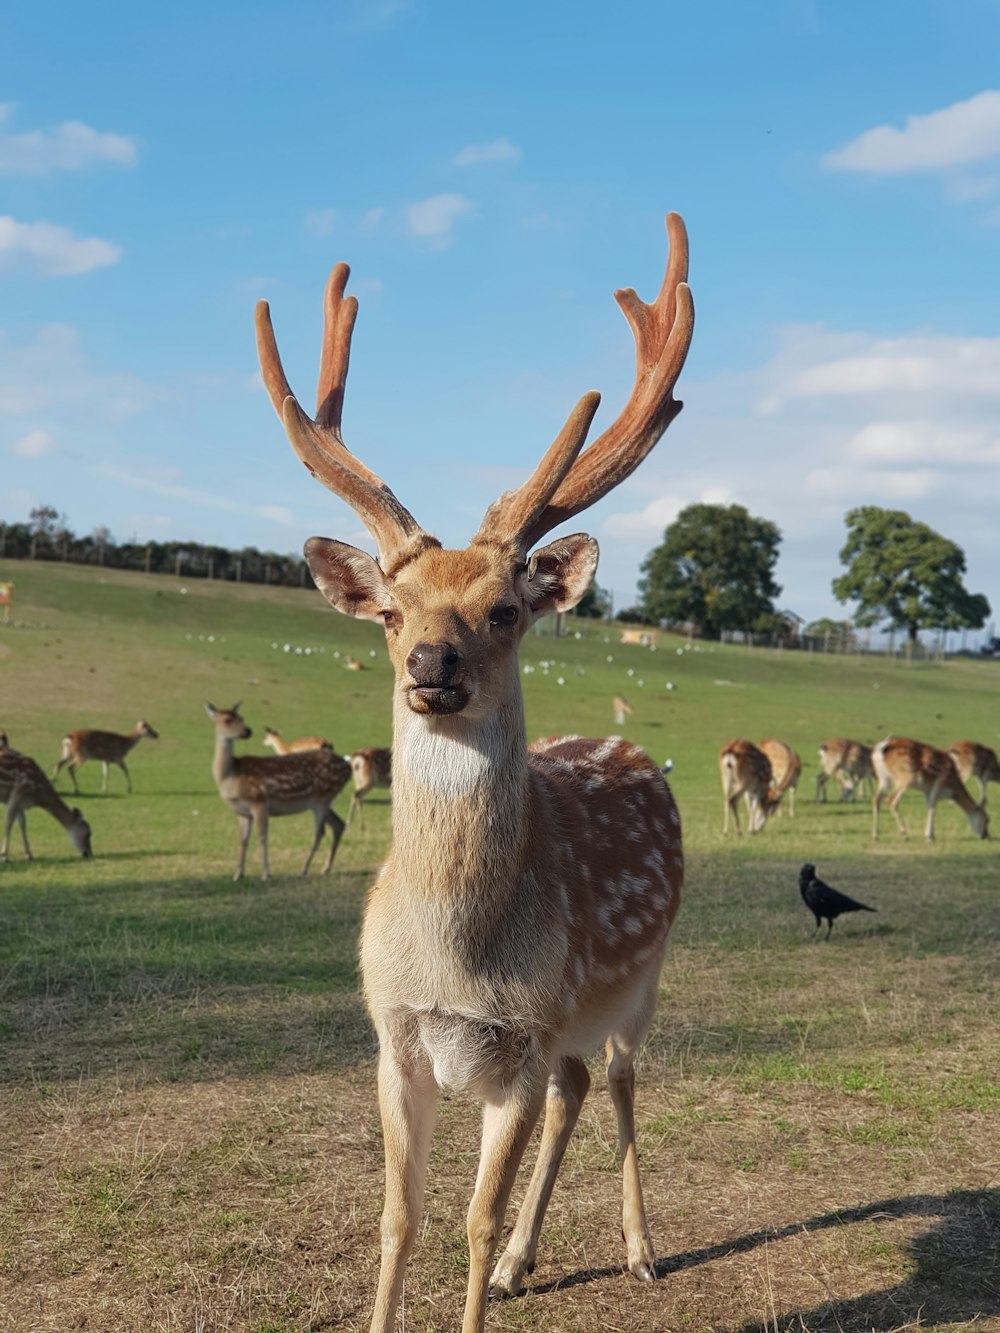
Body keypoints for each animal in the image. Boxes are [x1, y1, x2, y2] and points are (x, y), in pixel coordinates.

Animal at [204, 703, 352, 879]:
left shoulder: (259, 801)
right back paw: (325, 868)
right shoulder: (242, 811)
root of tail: (348, 766)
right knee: (339, 824)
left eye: (241, 717)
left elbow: (262, 837)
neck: (231, 776)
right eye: (227, 719)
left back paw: (304, 869)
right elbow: (243, 839)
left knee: (320, 832)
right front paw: (238, 874)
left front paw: (265, 874)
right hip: (322, 800)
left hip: (323, 797)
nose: (247, 731)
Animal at [256, 213, 698, 1327]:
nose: (430, 666)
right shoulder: (394, 1037)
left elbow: (472, 1218)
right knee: (583, 1089)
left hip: (637, 981)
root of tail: (637, 748)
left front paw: (496, 1258)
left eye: (503, 609)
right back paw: (529, 1264)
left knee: (620, 1079)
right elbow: (400, 1217)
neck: (457, 960)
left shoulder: (524, 1041)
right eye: (388, 609)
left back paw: (640, 1249)